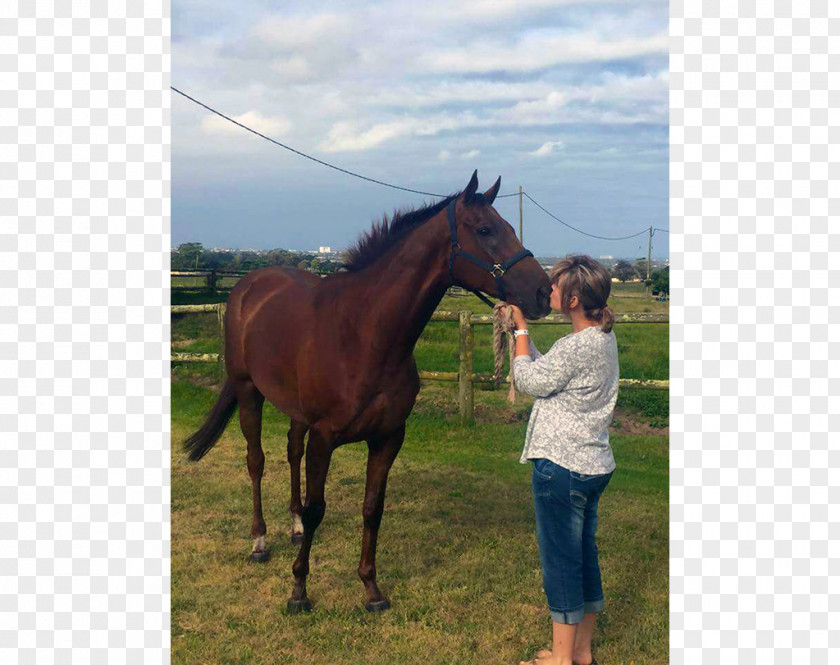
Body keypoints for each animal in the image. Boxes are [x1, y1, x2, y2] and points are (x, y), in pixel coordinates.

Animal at [183, 170, 552, 612]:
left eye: (509, 227)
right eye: (485, 230)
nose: (544, 292)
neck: (365, 333)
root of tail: (247, 287)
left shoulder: (388, 437)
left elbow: (372, 508)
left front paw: (371, 588)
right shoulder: (324, 437)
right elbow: (317, 509)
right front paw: (299, 590)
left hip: (295, 411)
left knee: (291, 452)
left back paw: (291, 526)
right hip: (248, 392)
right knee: (256, 461)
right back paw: (260, 541)